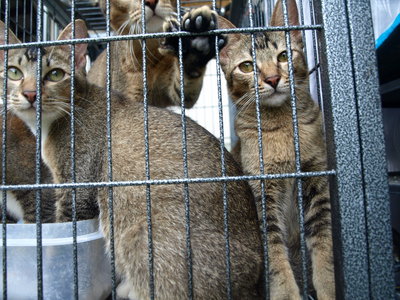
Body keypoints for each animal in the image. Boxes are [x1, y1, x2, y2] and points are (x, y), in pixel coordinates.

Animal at [220, 0, 336, 300]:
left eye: (284, 55)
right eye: (246, 66)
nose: (272, 78)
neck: (282, 127)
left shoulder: (317, 177)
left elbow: (324, 239)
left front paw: (330, 286)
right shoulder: (261, 192)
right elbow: (272, 249)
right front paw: (285, 292)